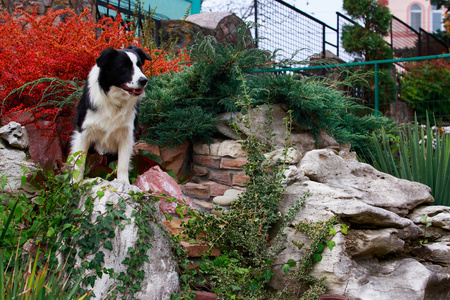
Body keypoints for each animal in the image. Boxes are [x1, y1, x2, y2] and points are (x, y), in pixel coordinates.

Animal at [70, 45, 151, 184]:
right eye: (124, 66)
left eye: (139, 65)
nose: (143, 80)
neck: (114, 100)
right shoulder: (84, 131)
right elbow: (80, 162)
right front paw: (75, 184)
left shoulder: (127, 134)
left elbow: (123, 164)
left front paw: (124, 184)